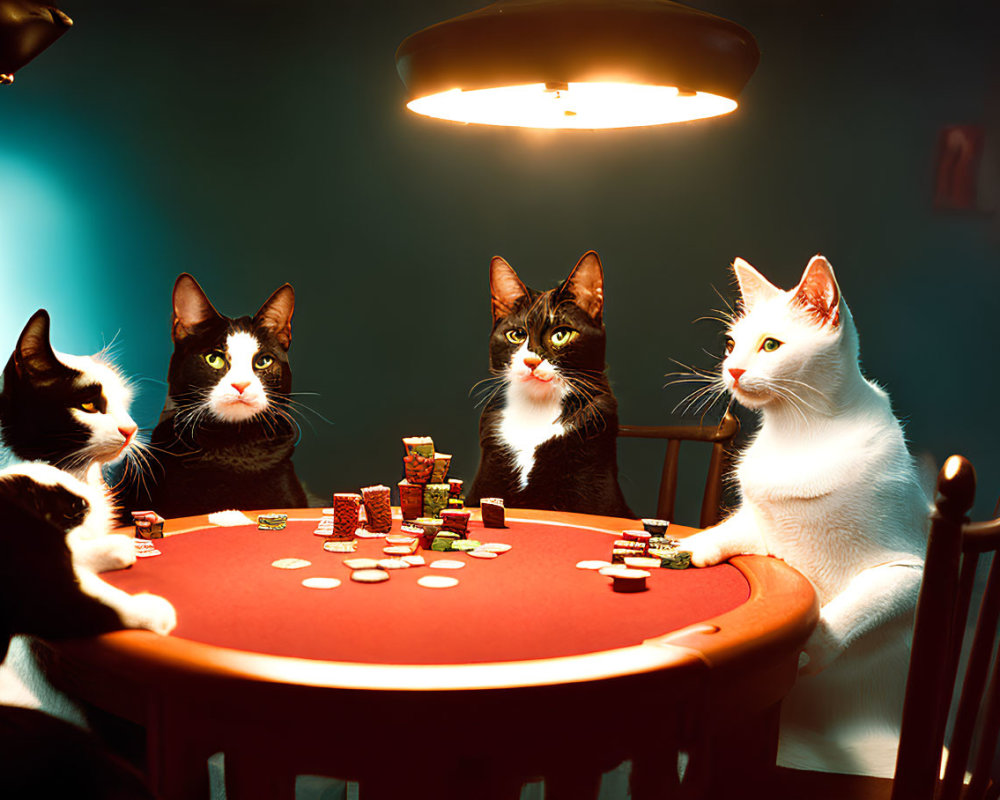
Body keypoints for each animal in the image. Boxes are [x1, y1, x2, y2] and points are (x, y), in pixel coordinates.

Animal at [466, 252, 632, 520]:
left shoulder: (590, 480)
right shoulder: (490, 471)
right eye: (516, 335)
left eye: (561, 335)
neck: (536, 409)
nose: (531, 361)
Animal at [684, 255, 924, 776]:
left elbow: (848, 610)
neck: (799, 434)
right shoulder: (766, 529)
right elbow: (735, 528)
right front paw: (691, 545)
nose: (732, 369)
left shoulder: (908, 569)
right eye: (731, 343)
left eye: (771, 345)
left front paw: (809, 649)